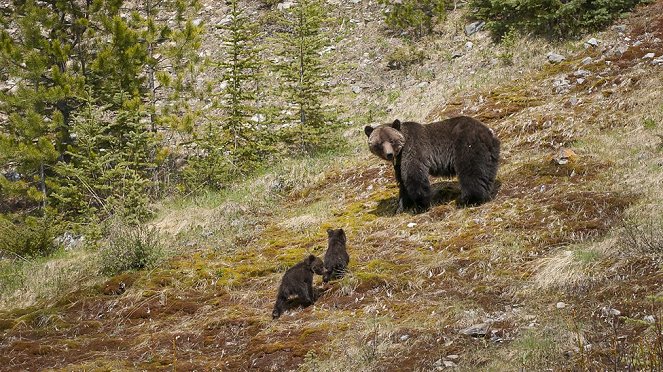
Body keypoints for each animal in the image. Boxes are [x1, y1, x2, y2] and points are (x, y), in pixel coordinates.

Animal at [366, 116, 500, 212]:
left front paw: (420, 205)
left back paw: (468, 200)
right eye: (379, 143)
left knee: (471, 172)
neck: (400, 151)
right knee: (485, 173)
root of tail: (488, 132)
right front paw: (401, 206)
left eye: (391, 140)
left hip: (467, 146)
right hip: (490, 154)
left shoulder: (413, 149)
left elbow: (414, 175)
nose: (389, 154)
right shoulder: (399, 162)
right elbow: (402, 181)